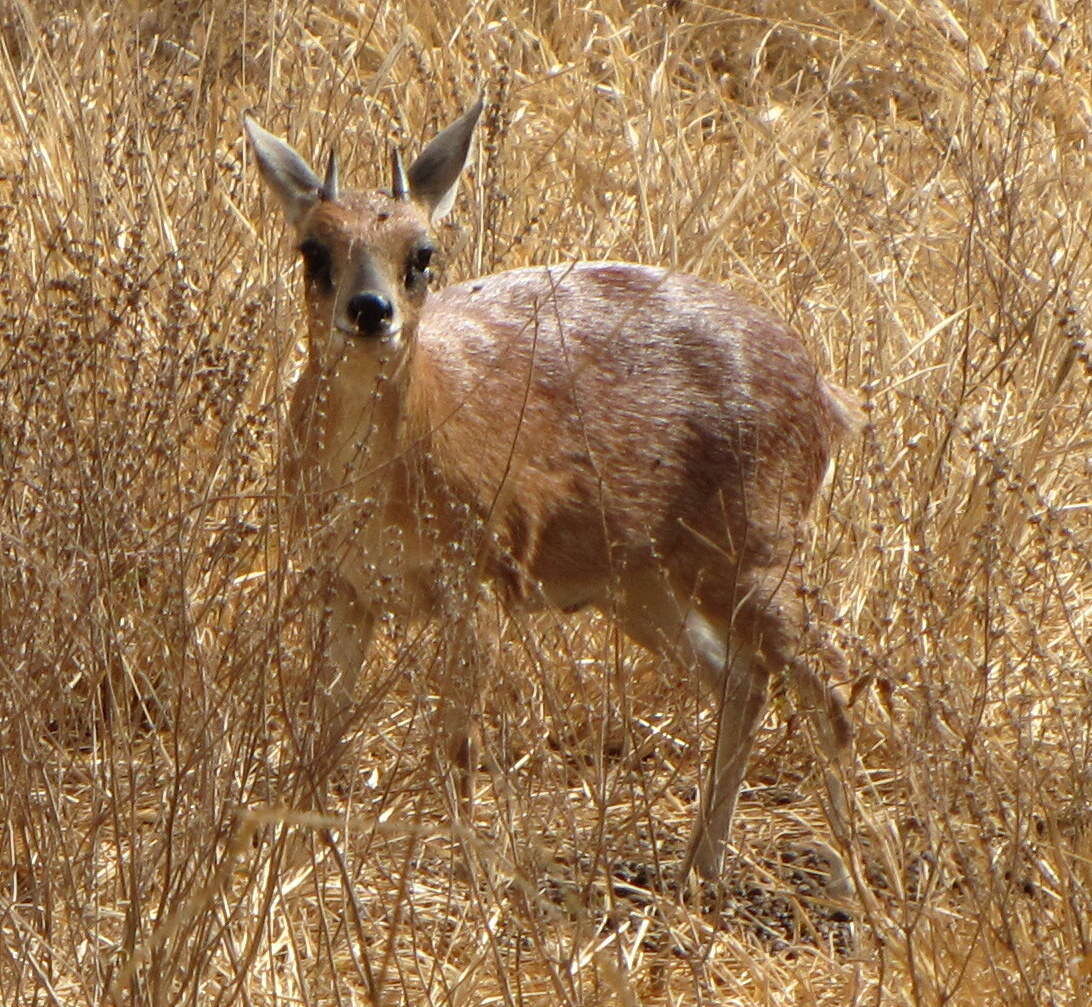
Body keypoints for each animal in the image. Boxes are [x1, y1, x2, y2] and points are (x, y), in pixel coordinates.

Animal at [247, 96, 860, 878]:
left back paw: (853, 875)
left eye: (422, 253)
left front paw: (477, 874)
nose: (369, 310)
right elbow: (321, 729)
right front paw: (290, 860)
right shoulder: (343, 583)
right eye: (313, 250)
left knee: (828, 681)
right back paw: (700, 866)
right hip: (643, 584)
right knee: (743, 678)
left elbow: (456, 746)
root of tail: (823, 391)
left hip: (757, 549)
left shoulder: (475, 578)